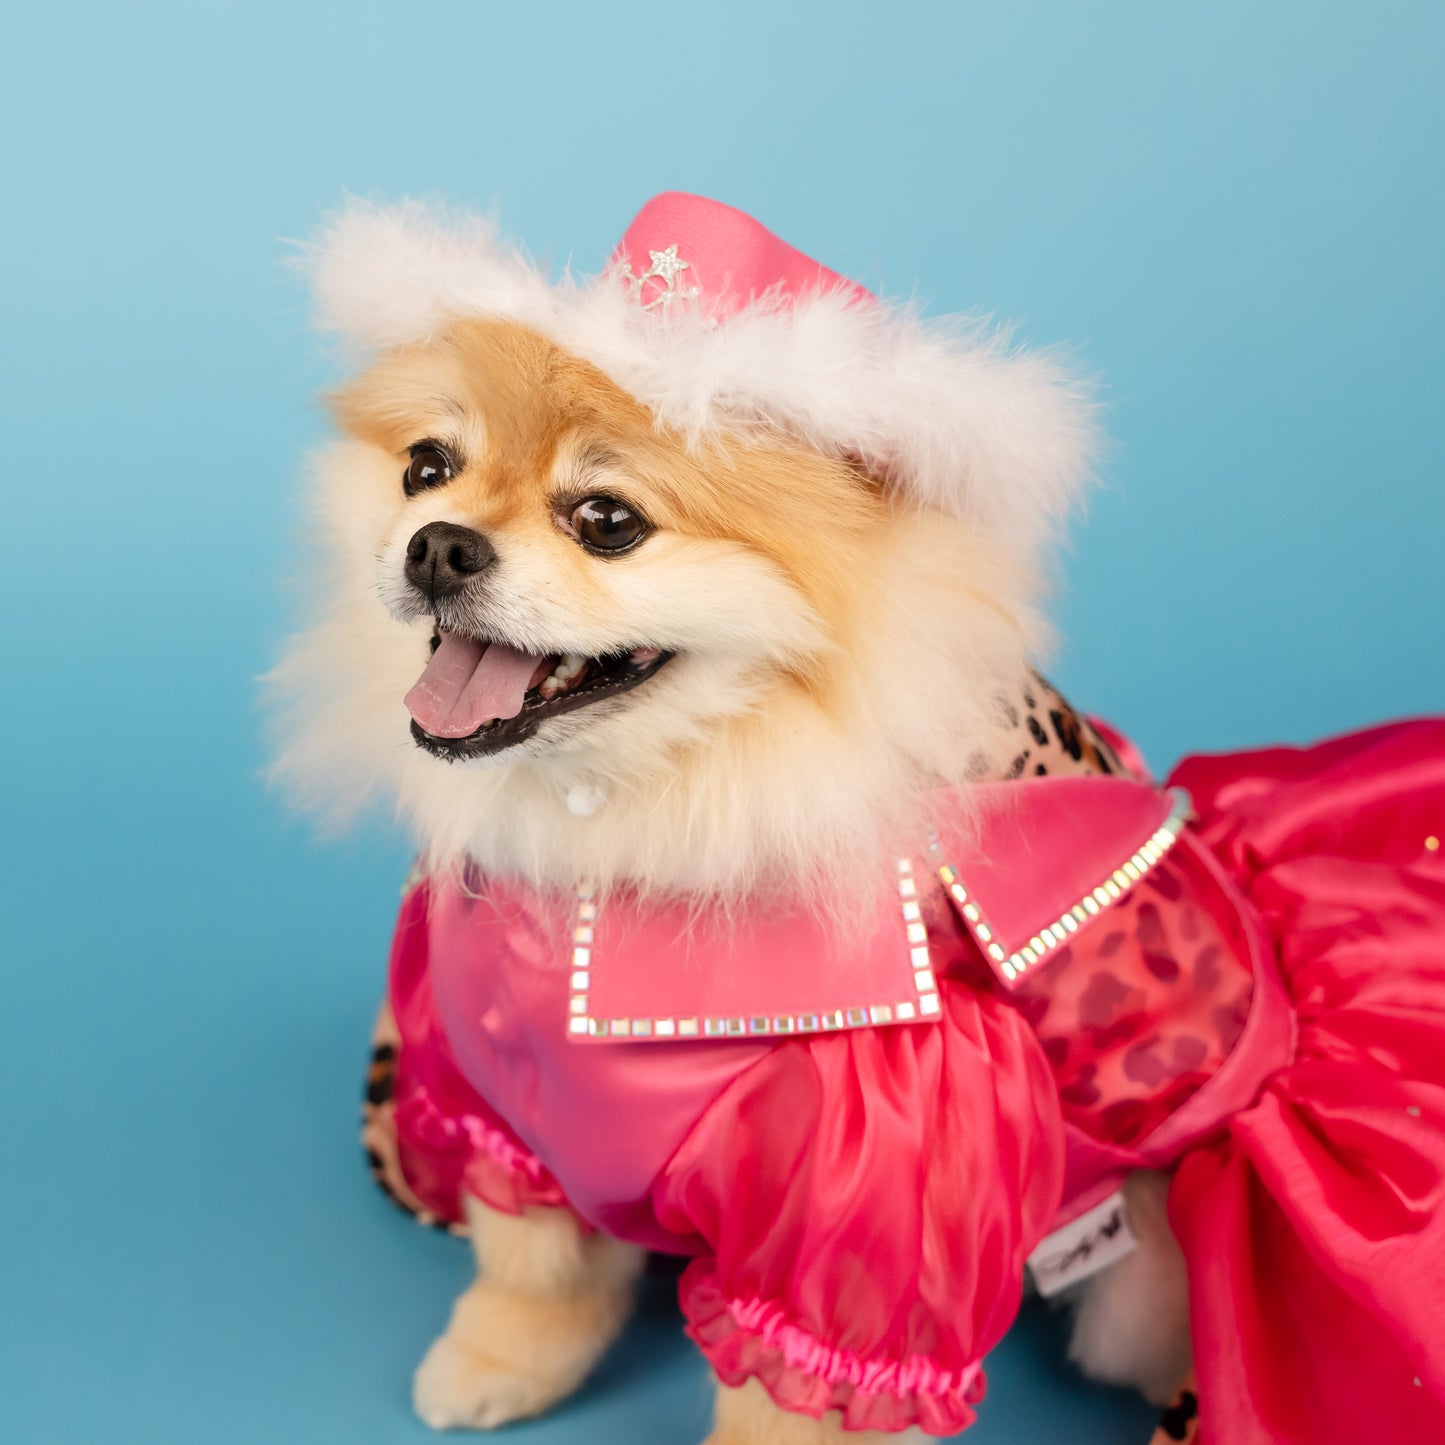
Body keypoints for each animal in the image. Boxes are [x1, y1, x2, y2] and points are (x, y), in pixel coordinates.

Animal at [273, 192, 1445, 1445]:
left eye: (605, 519)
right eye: (425, 466)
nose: (439, 543)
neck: (630, 808)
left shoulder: (871, 1170)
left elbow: (792, 1392)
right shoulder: (517, 1091)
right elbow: (535, 1256)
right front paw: (498, 1359)